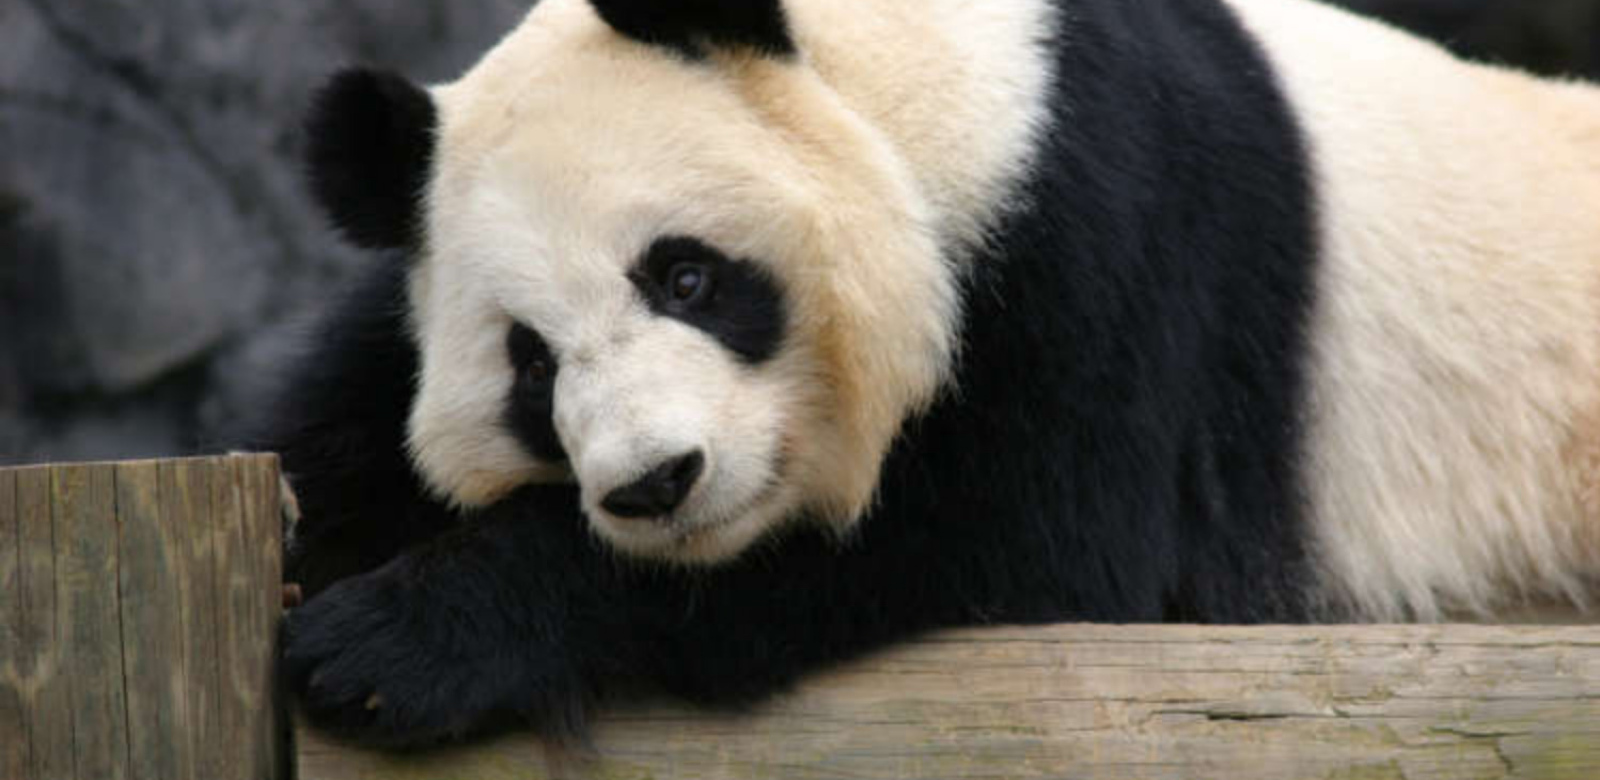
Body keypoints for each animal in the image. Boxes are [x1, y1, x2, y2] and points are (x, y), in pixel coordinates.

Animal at [268, 0, 1600, 746]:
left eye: (686, 276)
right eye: (529, 365)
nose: (655, 485)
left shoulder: (1105, 226)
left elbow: (1020, 537)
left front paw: (389, 647)